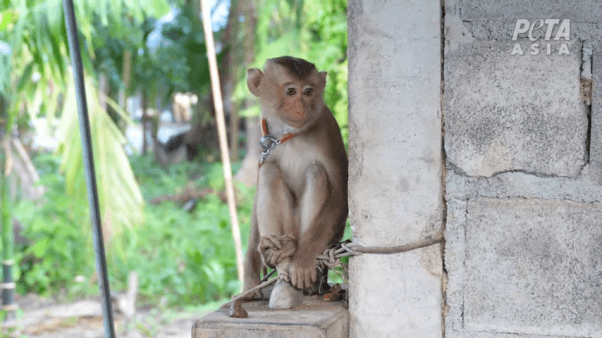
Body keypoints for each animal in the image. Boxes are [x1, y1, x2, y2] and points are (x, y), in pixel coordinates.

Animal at [241, 56, 346, 308]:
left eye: (308, 91)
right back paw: (279, 257)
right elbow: (260, 186)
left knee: (317, 172)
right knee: (269, 171)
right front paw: (250, 274)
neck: (289, 134)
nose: (301, 107)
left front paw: (303, 260)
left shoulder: (328, 130)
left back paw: (301, 269)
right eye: (290, 91)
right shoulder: (265, 143)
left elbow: (339, 193)